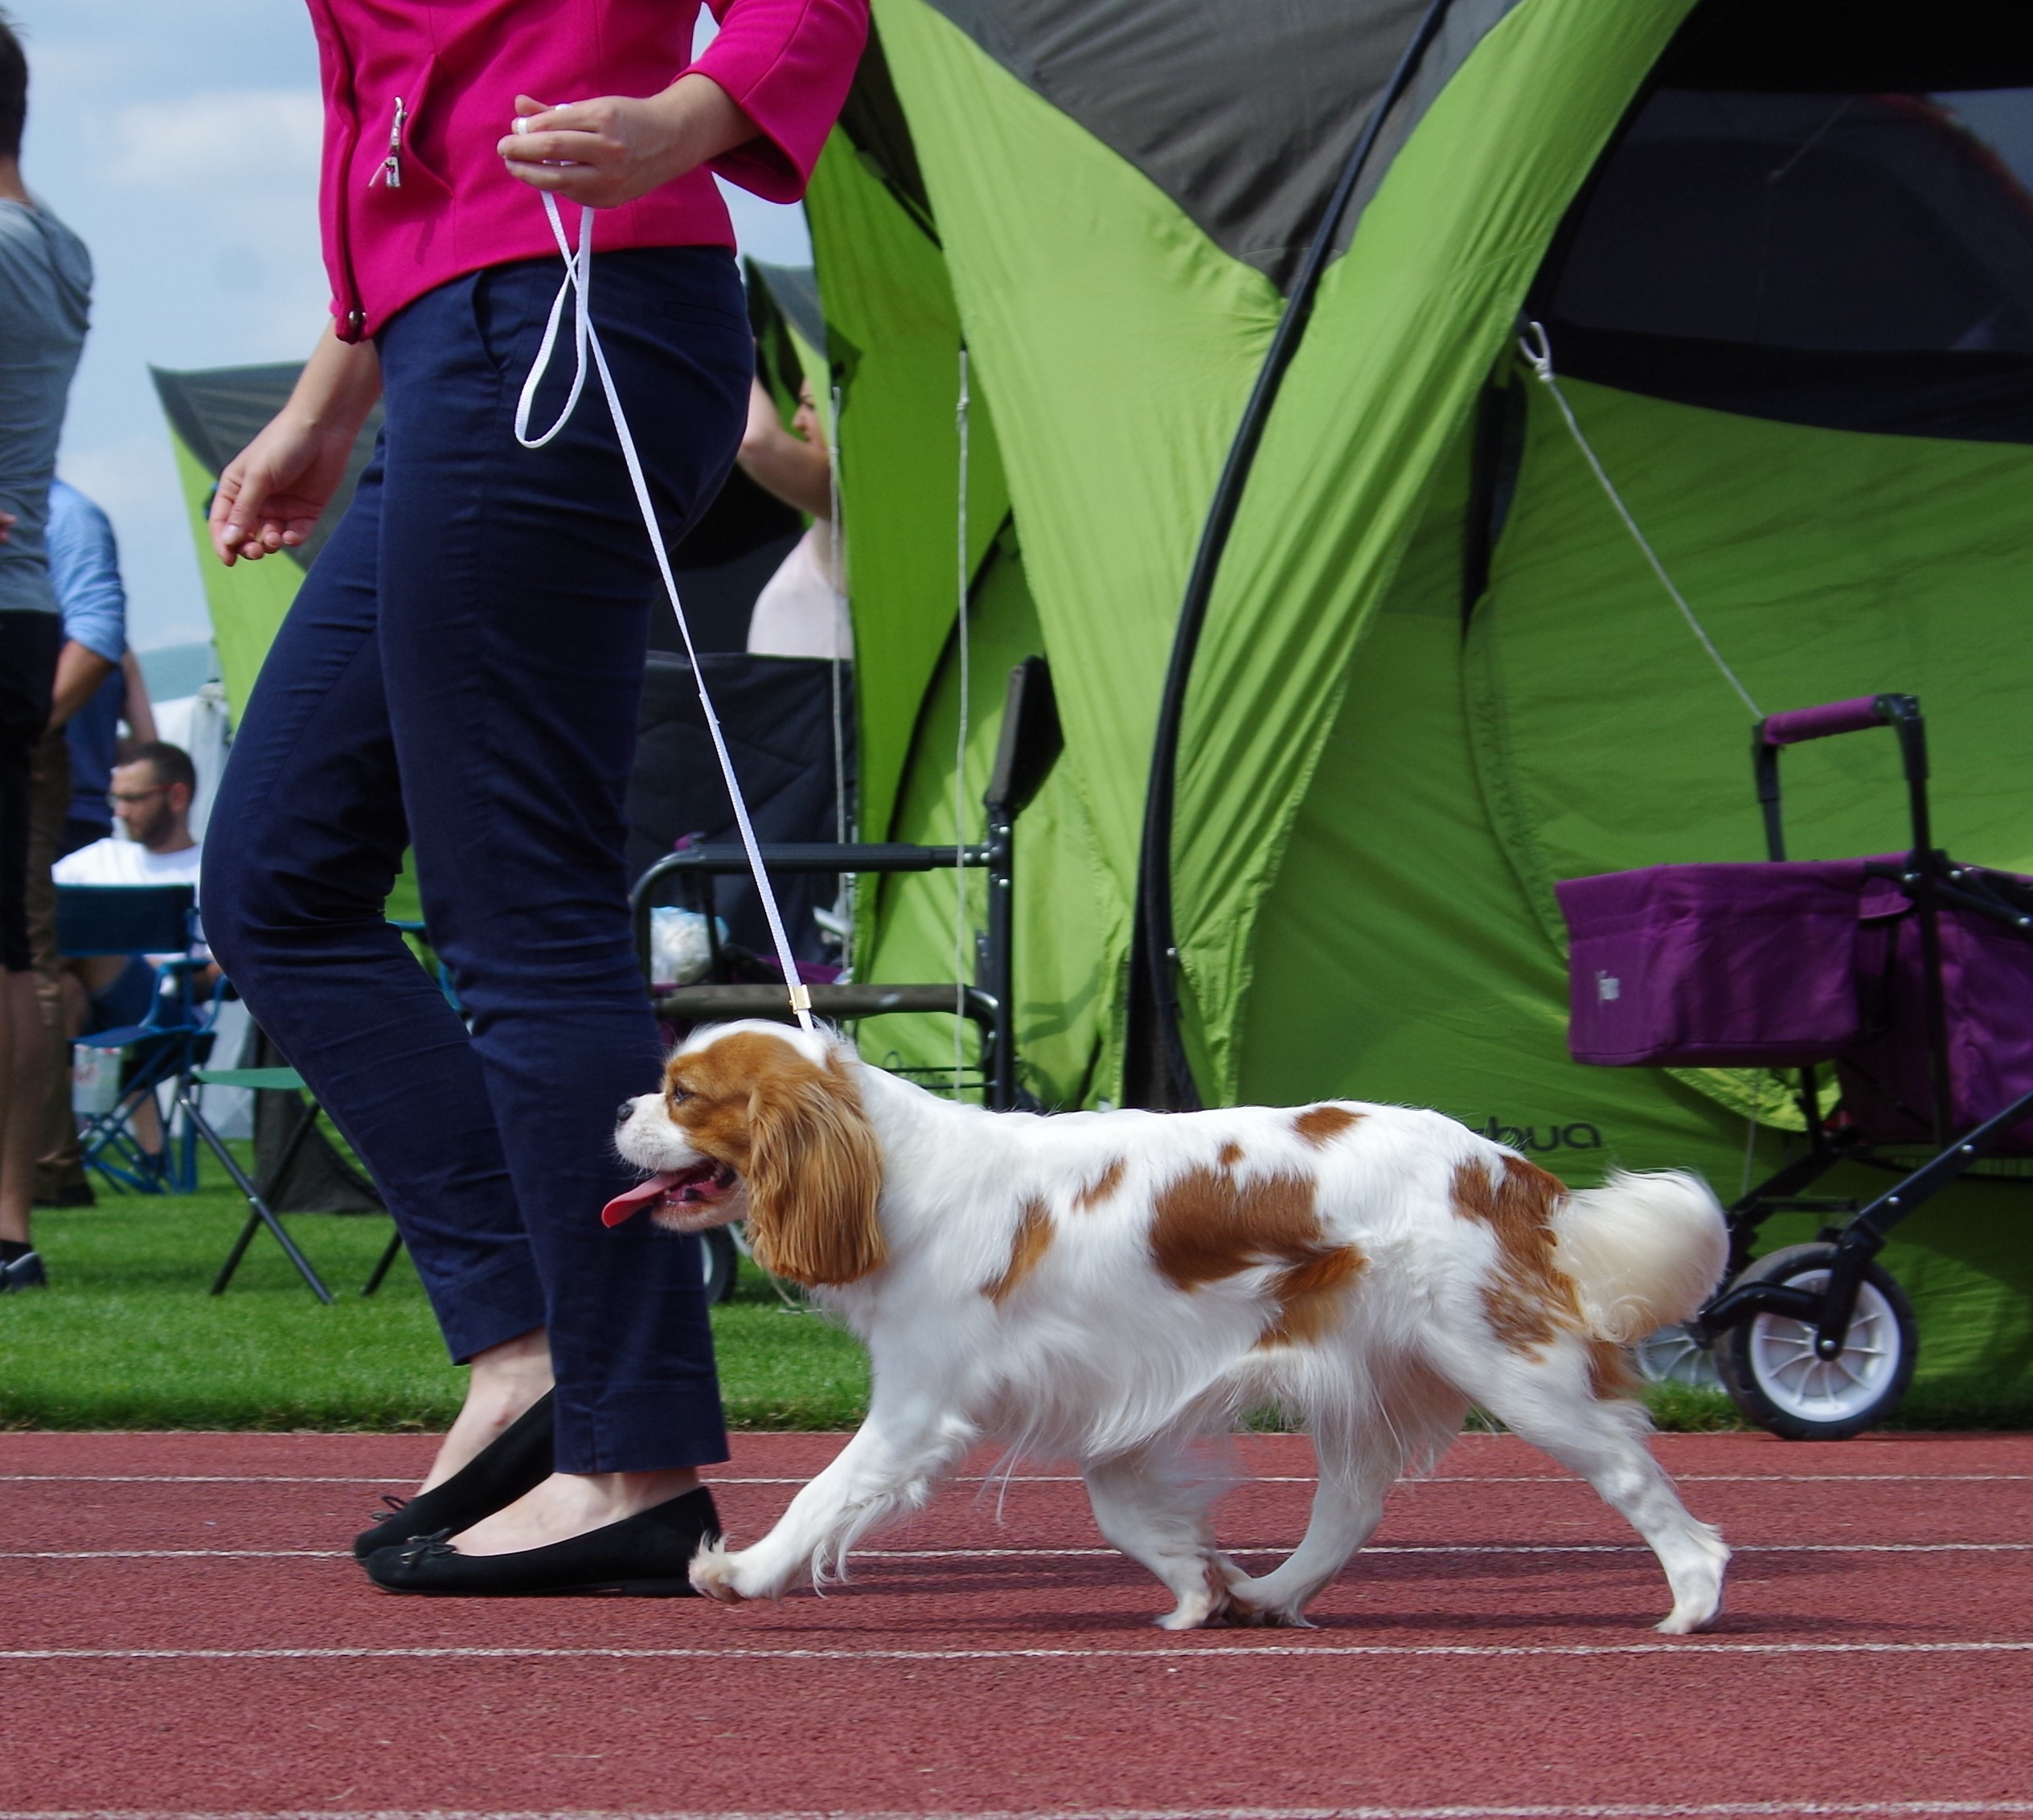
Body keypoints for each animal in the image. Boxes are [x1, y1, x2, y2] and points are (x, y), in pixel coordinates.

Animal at [609, 1021, 1731, 1632]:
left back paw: (1693, 1592)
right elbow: (1126, 1512)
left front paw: (742, 1570)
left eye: (682, 1094)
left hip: (1510, 1365)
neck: (887, 1168)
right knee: (1350, 1503)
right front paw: (1202, 1583)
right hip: (1367, 1371)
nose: (618, 1108)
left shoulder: (919, 1406)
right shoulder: (1110, 1388)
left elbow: (820, 1492)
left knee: (1630, 1469)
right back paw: (1273, 1591)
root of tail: (1506, 1166)